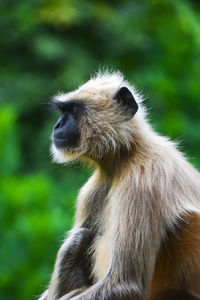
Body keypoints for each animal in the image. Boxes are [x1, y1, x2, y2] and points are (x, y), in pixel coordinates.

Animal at [38, 71, 200, 300]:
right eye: (64, 111)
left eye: (74, 110)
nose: (57, 125)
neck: (126, 157)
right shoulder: (93, 189)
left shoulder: (143, 179)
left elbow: (126, 283)